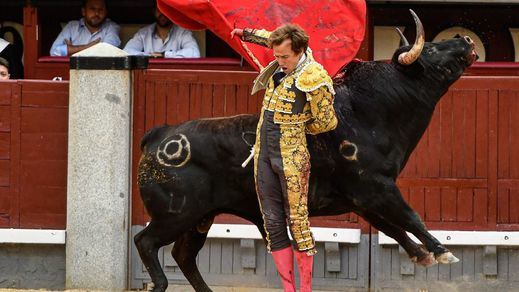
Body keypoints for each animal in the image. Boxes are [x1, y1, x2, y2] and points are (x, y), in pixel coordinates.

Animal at [135, 11, 480, 292]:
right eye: (431, 49)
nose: (464, 39)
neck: (369, 112)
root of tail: (160, 136)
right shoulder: (377, 187)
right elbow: (411, 217)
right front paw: (442, 252)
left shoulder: (365, 199)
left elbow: (394, 227)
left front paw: (422, 255)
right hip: (177, 214)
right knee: (146, 241)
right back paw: (158, 283)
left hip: (201, 217)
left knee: (183, 254)